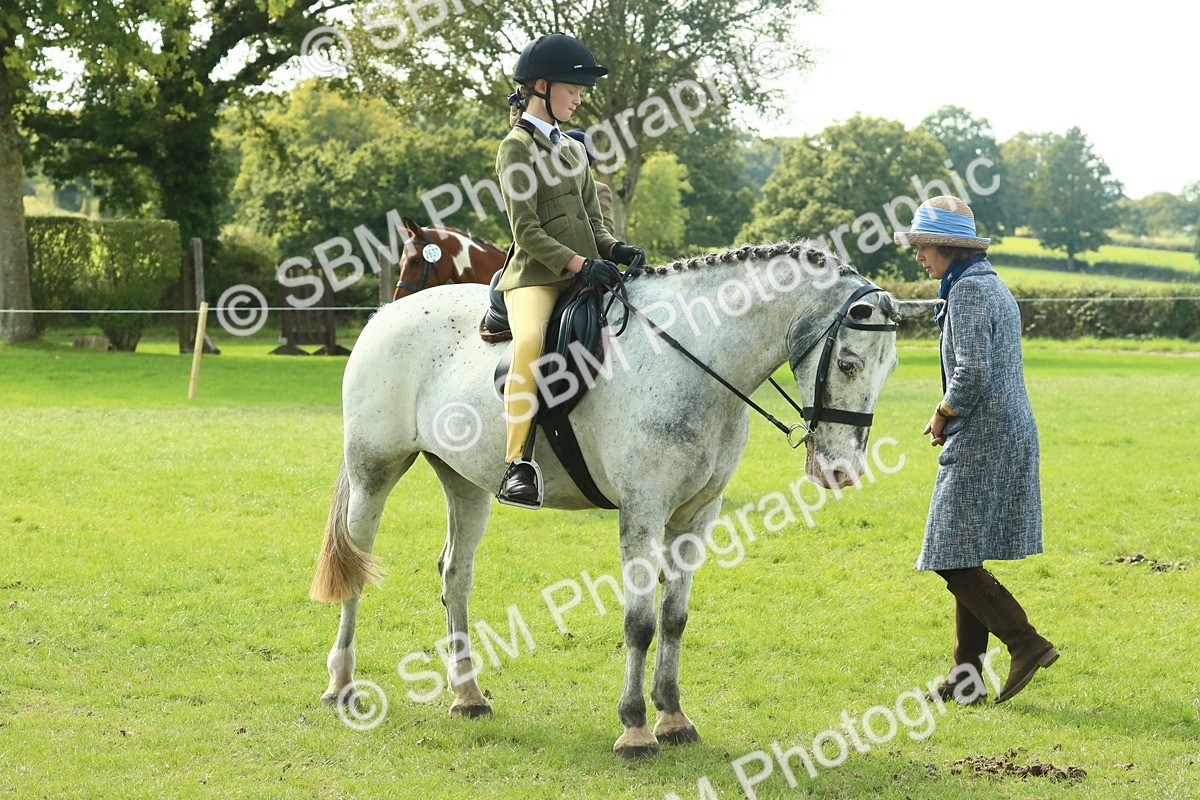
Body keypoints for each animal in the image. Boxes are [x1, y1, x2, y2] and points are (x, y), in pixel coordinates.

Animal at [310, 239, 938, 758]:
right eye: (849, 364)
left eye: (890, 368)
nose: (842, 471)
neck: (694, 356)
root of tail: (387, 314)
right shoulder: (643, 511)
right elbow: (639, 621)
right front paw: (635, 729)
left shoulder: (696, 515)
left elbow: (675, 617)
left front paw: (674, 719)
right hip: (374, 470)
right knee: (357, 567)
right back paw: (341, 685)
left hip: (465, 481)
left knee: (455, 575)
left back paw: (468, 696)